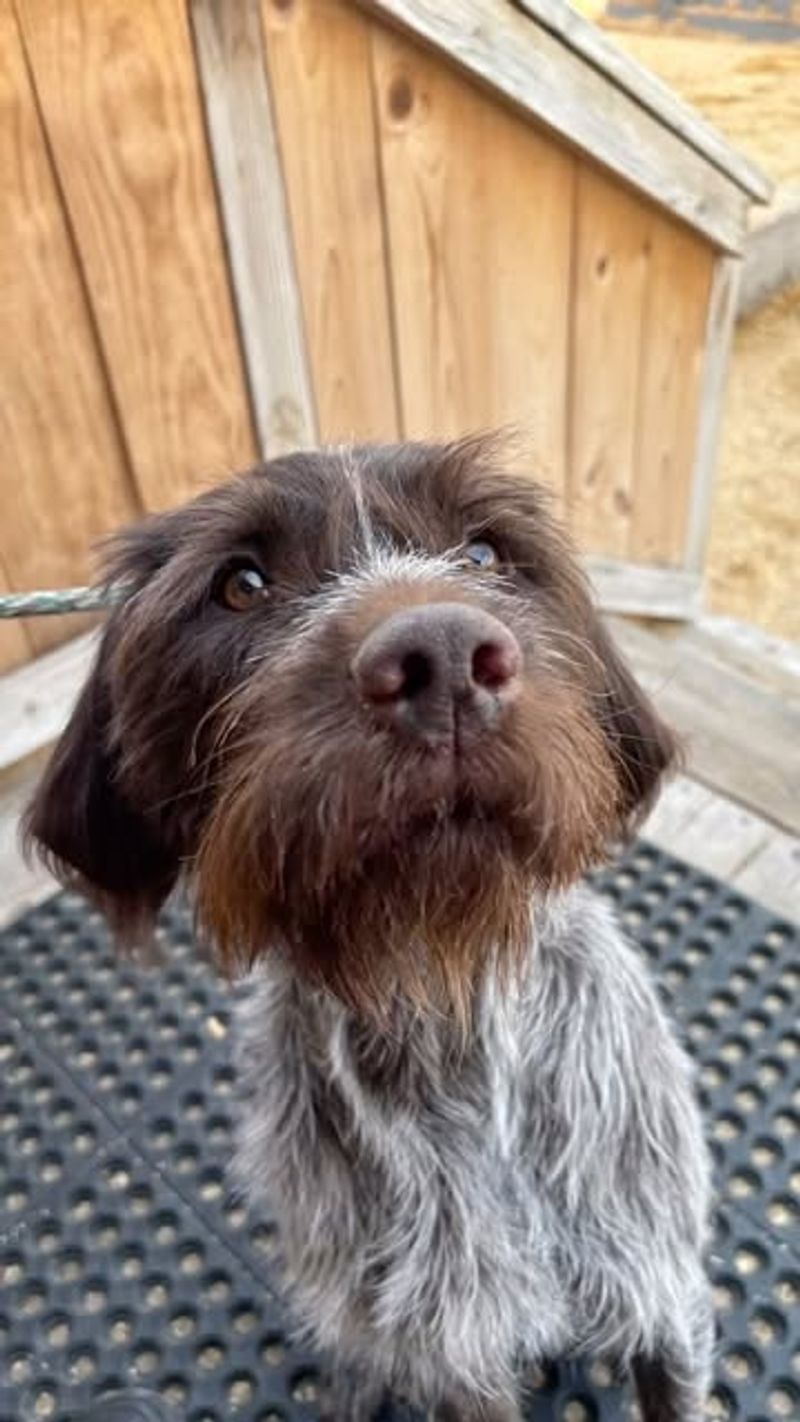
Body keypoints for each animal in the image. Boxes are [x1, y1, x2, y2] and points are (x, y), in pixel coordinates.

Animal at [25, 437, 713, 1416]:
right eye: (241, 584)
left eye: (483, 554)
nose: (445, 658)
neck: (441, 998)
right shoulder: (453, 1353)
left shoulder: (663, 1294)